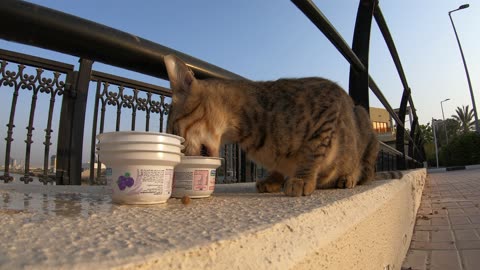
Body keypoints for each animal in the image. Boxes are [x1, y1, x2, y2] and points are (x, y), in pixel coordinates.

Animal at [165, 54, 378, 197]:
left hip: (363, 120)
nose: (179, 159)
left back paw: (348, 177)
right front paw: (274, 179)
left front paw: (302, 179)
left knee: (364, 168)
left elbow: (312, 151)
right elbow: (278, 166)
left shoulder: (328, 106)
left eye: (174, 131)